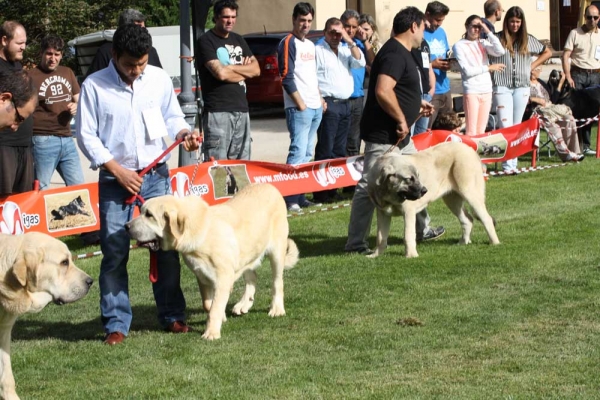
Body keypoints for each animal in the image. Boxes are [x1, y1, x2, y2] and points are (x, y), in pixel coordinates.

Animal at [125, 183, 298, 340]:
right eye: (141, 211)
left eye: (149, 215)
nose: (126, 226)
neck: (199, 231)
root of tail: (270, 186)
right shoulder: (202, 275)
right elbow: (208, 304)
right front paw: (221, 317)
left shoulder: (223, 277)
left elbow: (214, 308)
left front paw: (211, 333)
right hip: (247, 252)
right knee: (252, 277)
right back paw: (244, 304)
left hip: (276, 251)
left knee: (277, 282)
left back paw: (277, 309)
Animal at [366, 142, 502, 258]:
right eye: (409, 179)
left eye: (418, 176)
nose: (424, 190)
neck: (388, 193)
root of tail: (469, 148)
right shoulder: (382, 213)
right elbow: (381, 237)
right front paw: (376, 255)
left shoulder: (408, 212)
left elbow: (408, 235)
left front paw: (411, 255)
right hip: (452, 200)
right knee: (467, 220)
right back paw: (463, 242)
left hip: (470, 193)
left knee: (486, 219)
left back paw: (495, 243)